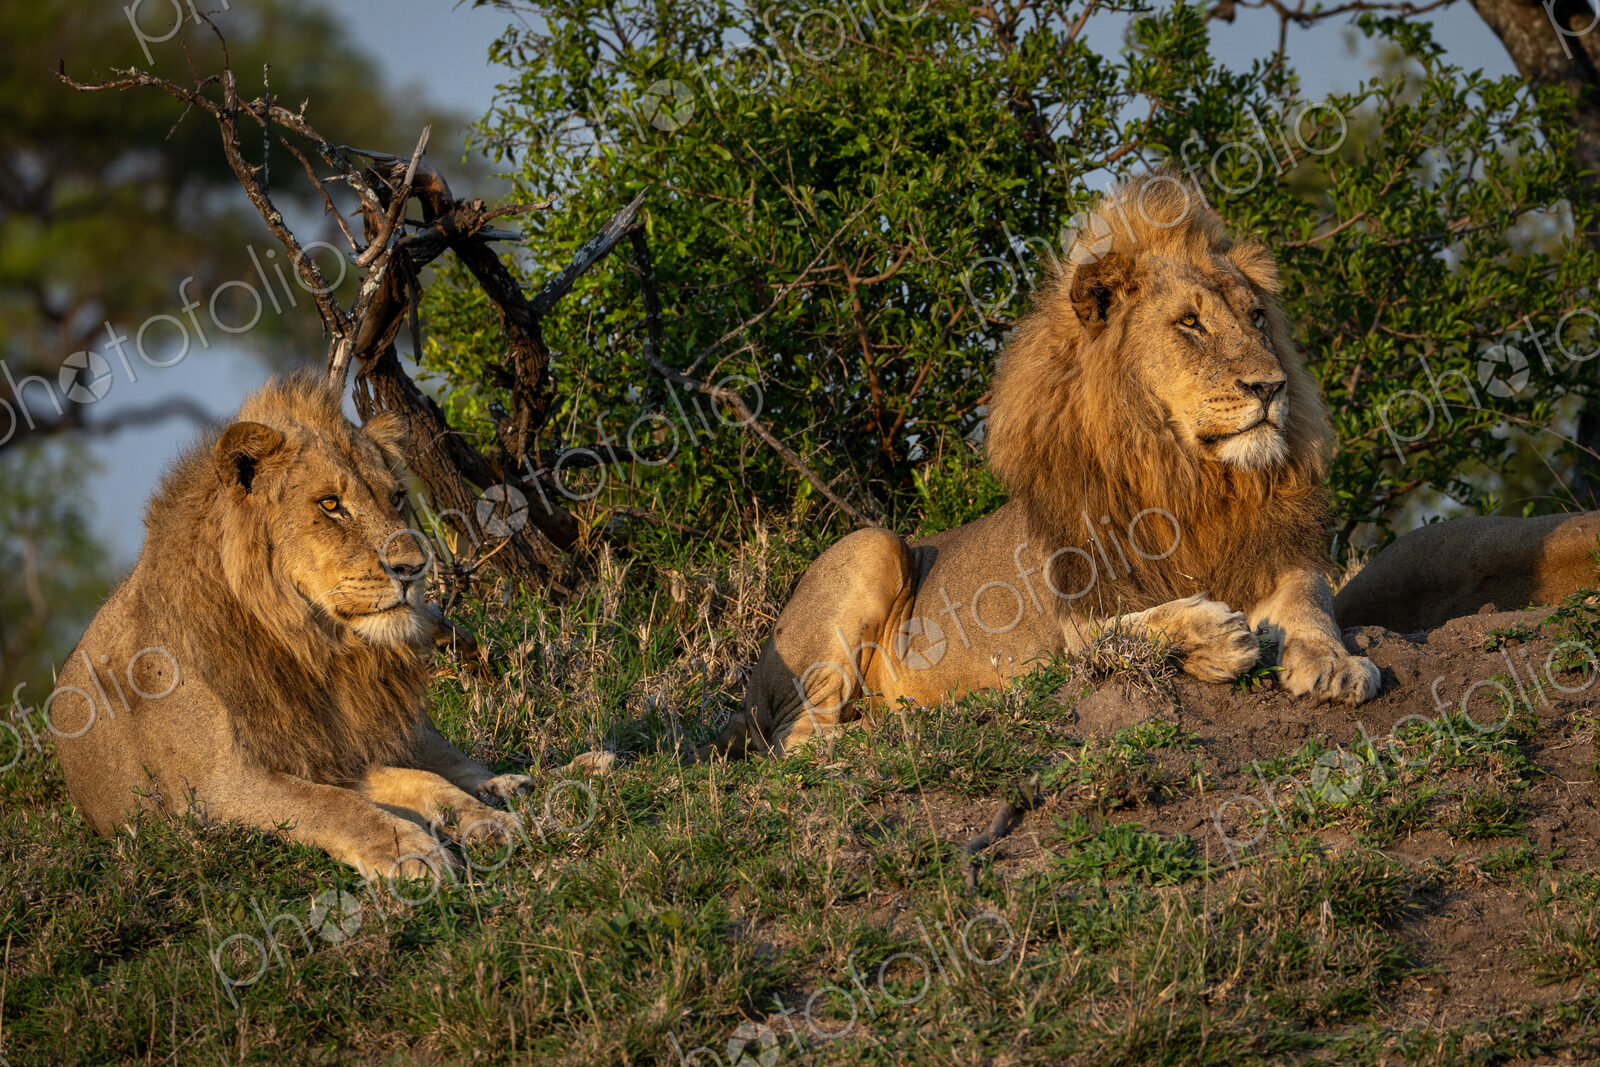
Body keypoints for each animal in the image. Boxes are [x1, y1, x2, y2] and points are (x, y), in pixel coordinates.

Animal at [50, 373, 532, 879]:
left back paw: (511, 786)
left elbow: (425, 778)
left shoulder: (340, 747)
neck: (313, 646)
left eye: (397, 498)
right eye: (331, 504)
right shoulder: (211, 789)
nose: (414, 568)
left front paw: (488, 821)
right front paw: (411, 850)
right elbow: (333, 804)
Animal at [703, 173, 1381, 759]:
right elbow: (1121, 631)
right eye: (1190, 323)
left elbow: (1312, 599)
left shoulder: (1277, 553)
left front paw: (1336, 664)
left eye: (1257, 317)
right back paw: (892, 728)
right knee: (794, 739)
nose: (1271, 387)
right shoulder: (1066, 624)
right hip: (870, 548)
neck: (1193, 478)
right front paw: (1215, 636)